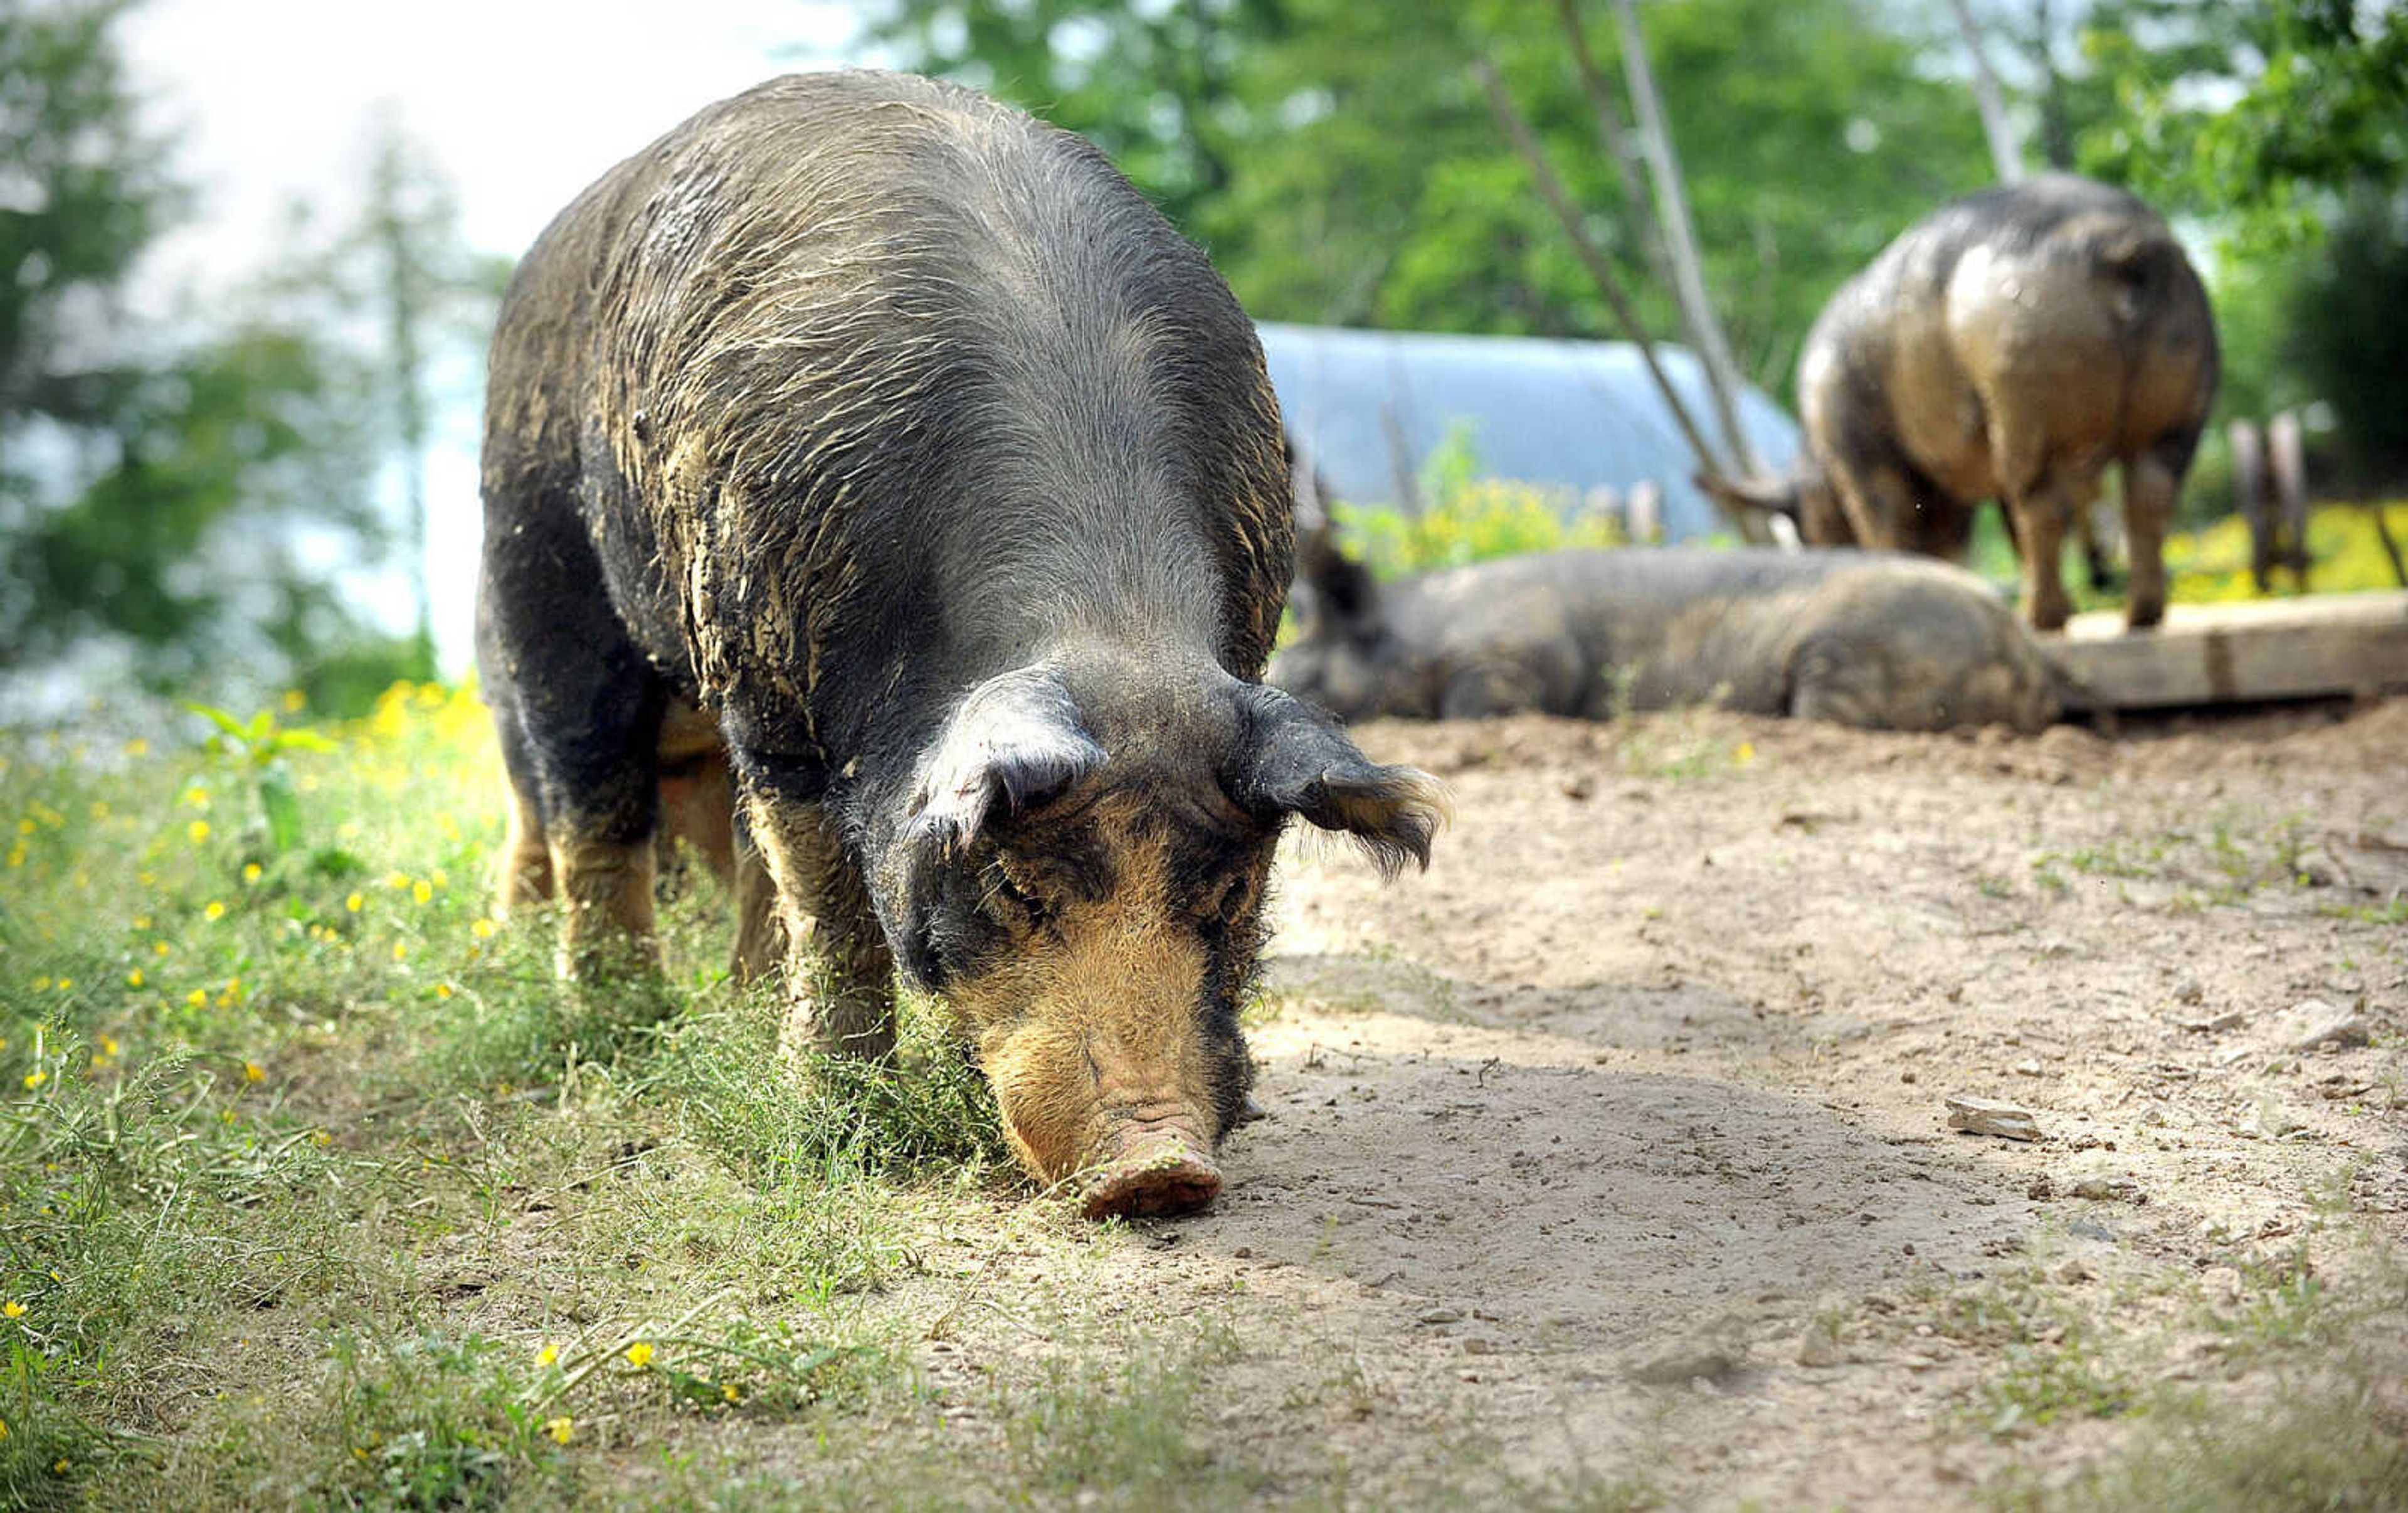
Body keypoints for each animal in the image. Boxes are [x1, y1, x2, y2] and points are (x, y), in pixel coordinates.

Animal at [1704, 174, 2205, 631]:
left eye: (1808, 525)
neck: (1815, 458)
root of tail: (2123, 247)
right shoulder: (1950, 478)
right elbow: (1954, 542)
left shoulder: (1857, 451)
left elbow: (1887, 519)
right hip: (2181, 385)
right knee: (2151, 493)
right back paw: (2140, 616)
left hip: (2028, 371)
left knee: (2044, 505)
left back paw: (2040, 620)